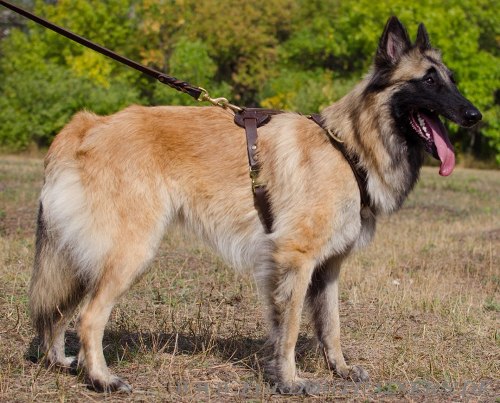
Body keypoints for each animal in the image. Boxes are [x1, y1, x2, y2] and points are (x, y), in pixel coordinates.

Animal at [30, 16, 480, 394]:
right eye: (429, 81)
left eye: (452, 80)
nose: (475, 115)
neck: (348, 147)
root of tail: (87, 124)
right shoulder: (294, 258)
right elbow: (292, 326)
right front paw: (290, 380)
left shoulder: (328, 267)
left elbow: (330, 325)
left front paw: (339, 369)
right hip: (130, 251)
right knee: (88, 317)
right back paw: (101, 378)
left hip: (82, 253)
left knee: (58, 309)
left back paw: (62, 362)